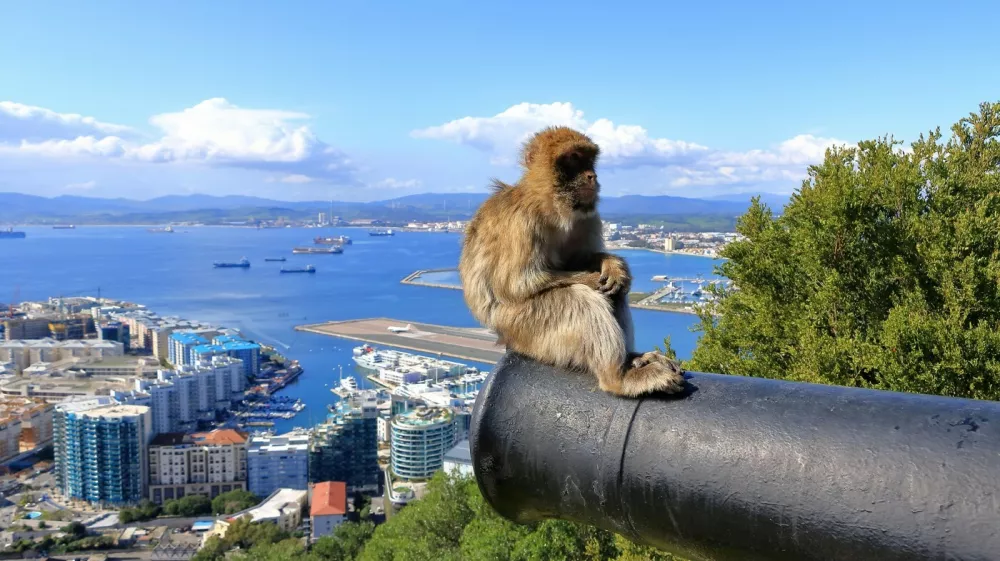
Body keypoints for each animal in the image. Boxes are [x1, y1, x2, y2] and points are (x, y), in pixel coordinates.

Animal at [459, 126, 685, 397]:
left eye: (589, 159)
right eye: (574, 158)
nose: (592, 175)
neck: (550, 204)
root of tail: (503, 336)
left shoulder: (587, 216)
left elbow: (581, 259)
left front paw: (614, 266)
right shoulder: (522, 220)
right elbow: (517, 283)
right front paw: (591, 278)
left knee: (615, 294)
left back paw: (631, 358)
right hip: (523, 327)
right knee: (579, 299)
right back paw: (618, 378)